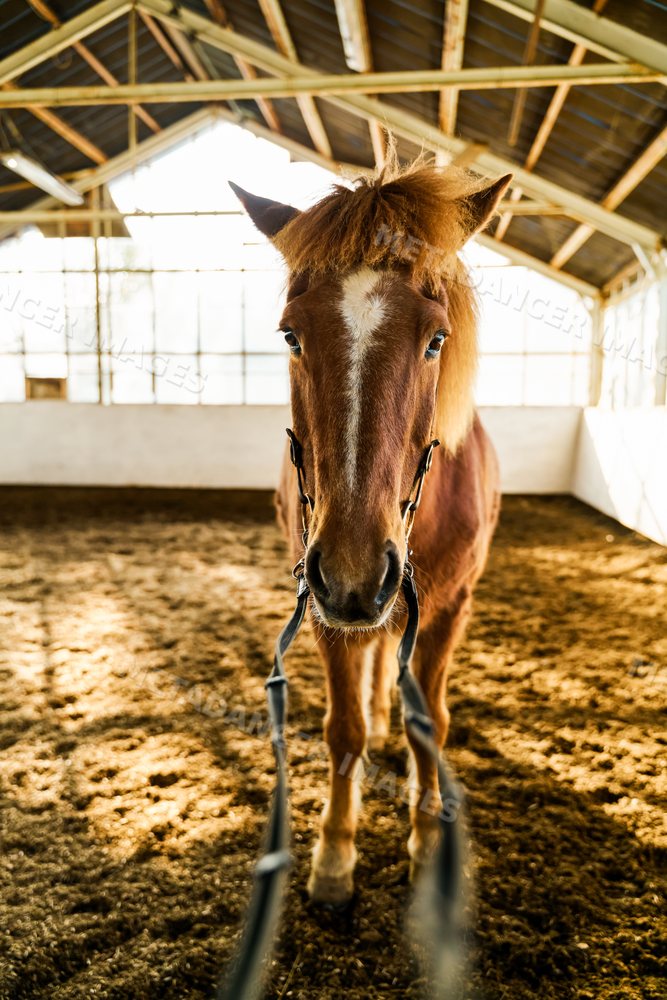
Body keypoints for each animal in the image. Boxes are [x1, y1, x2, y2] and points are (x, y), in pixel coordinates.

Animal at [231, 159, 511, 907]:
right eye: (290, 335)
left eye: (436, 338)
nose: (355, 572)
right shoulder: (323, 610)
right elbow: (345, 730)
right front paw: (334, 854)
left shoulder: (450, 608)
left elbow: (429, 725)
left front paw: (427, 842)